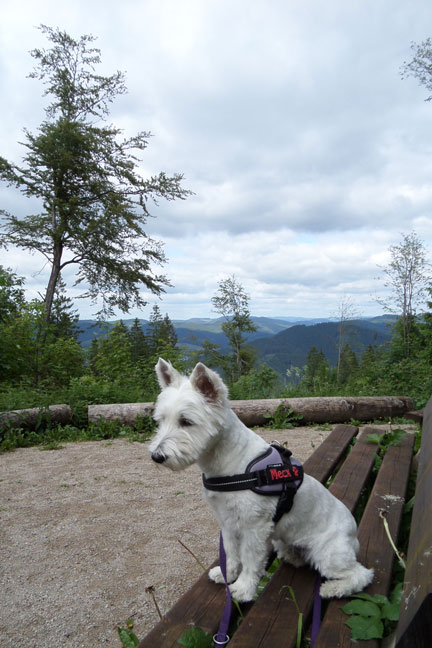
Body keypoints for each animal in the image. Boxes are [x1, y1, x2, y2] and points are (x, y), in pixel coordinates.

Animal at [150, 360, 372, 604]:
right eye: (160, 420)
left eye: (186, 421)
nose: (157, 456)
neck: (228, 463)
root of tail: (354, 535)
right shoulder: (227, 522)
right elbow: (231, 552)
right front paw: (227, 574)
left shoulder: (254, 526)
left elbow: (249, 559)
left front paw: (243, 589)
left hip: (330, 555)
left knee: (362, 574)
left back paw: (332, 589)